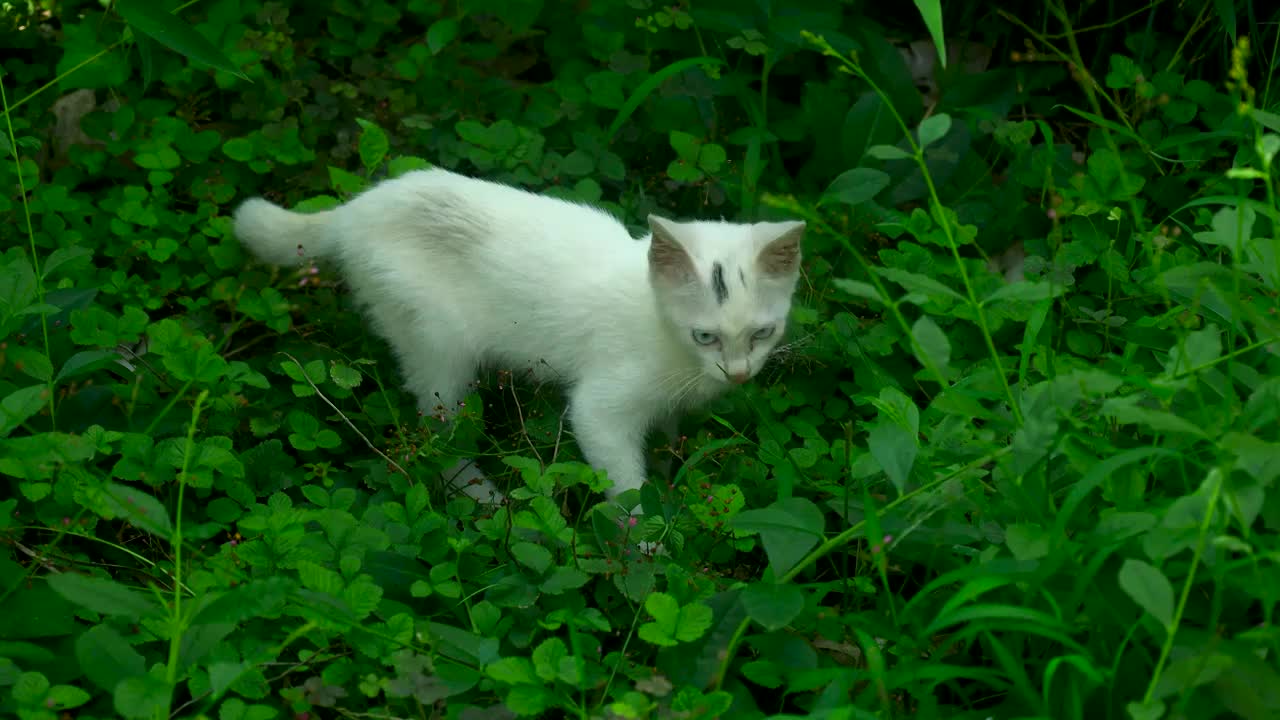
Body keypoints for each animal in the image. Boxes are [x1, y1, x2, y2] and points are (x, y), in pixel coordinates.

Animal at [232, 167, 798, 509]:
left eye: (762, 333)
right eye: (705, 336)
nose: (739, 374)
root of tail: (359, 209)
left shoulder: (672, 406)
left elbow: (666, 440)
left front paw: (669, 474)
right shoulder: (602, 407)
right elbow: (624, 484)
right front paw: (648, 548)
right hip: (438, 345)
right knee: (435, 439)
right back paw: (485, 498)